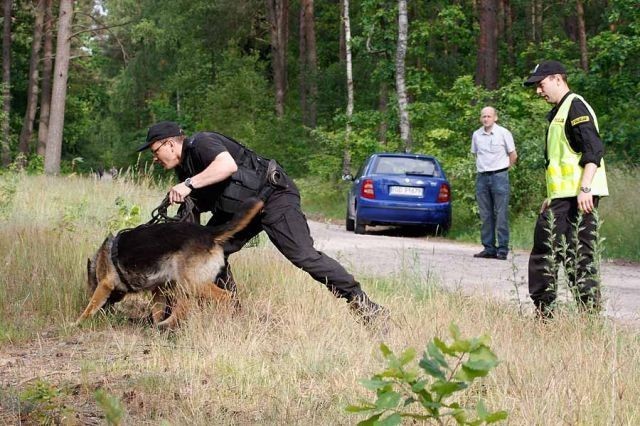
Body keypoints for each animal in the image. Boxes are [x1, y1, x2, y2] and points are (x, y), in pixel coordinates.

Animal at [76, 198, 264, 328]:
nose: (106, 314)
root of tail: (208, 233)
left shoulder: (104, 284)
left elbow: (91, 306)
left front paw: (78, 322)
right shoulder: (158, 290)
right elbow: (157, 310)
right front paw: (153, 326)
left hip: (192, 283)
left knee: (225, 297)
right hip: (183, 285)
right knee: (185, 306)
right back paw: (165, 325)